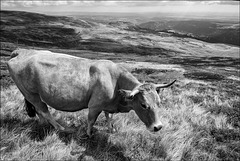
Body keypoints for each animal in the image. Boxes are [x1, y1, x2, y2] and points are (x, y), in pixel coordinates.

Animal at [7, 48, 176, 136]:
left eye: (159, 103)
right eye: (143, 105)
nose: (158, 127)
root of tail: (21, 51)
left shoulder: (107, 105)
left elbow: (109, 117)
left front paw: (111, 128)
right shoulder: (95, 105)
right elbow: (91, 120)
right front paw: (89, 134)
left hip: (31, 95)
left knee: (39, 111)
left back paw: (42, 124)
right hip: (31, 94)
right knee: (44, 110)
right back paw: (61, 128)